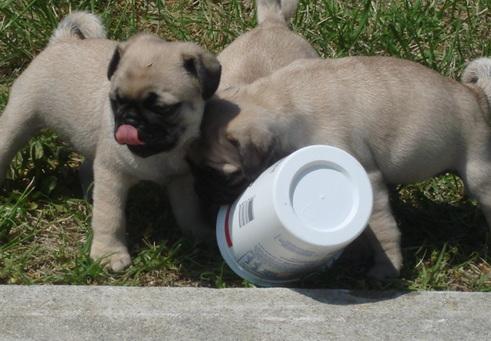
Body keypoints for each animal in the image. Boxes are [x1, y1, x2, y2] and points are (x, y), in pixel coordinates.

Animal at [0, 11, 221, 270]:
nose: (130, 119)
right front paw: (109, 254)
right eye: (116, 101)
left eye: (162, 109)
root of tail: (62, 41)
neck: (161, 155)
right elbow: (110, 217)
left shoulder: (181, 178)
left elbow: (189, 210)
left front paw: (200, 234)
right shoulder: (111, 175)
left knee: (87, 168)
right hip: (19, 117)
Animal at [190, 53, 491, 278]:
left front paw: (386, 268)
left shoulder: (368, 179)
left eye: (220, 175)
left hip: (477, 171)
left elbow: (382, 229)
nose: (201, 192)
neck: (279, 101)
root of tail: (474, 94)